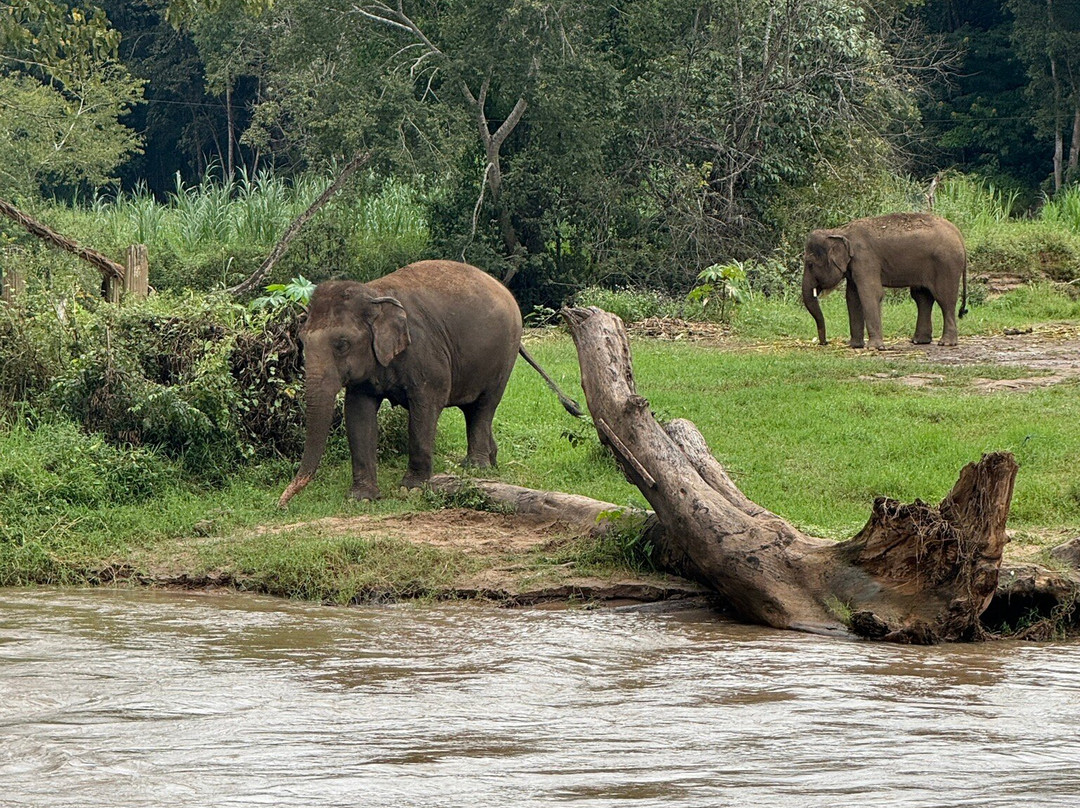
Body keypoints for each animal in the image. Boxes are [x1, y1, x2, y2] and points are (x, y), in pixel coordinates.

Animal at [277, 260, 580, 507]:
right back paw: (489, 462)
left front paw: (411, 490)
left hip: (504, 355)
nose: (281, 503)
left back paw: (476, 468)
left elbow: (425, 408)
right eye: (301, 341)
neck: (373, 293)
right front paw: (361, 498)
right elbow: (358, 415)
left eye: (341, 344)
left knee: (485, 406)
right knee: (473, 411)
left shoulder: (425, 354)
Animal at [801, 212, 968, 350]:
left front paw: (874, 348)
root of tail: (958, 233)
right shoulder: (854, 266)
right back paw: (919, 341)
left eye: (810, 264)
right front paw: (855, 346)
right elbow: (852, 298)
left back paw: (946, 343)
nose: (824, 342)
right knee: (922, 297)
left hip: (946, 263)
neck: (840, 231)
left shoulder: (865, 258)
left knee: (945, 299)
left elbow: (870, 293)